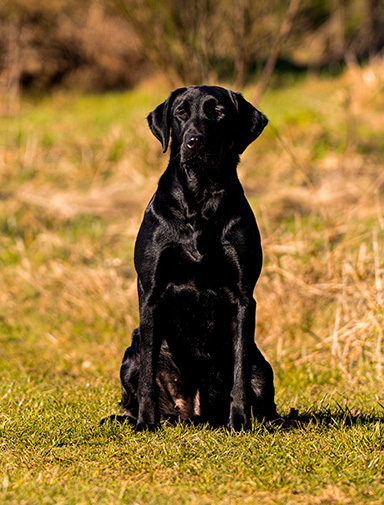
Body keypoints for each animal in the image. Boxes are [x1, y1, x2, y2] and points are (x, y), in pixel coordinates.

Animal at [115, 84, 278, 432]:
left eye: (218, 112)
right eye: (181, 113)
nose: (194, 142)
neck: (200, 200)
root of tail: (195, 413)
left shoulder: (243, 296)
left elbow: (240, 373)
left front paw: (239, 422)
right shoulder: (151, 292)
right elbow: (148, 374)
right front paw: (146, 423)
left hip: (262, 365)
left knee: (262, 394)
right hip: (130, 353)